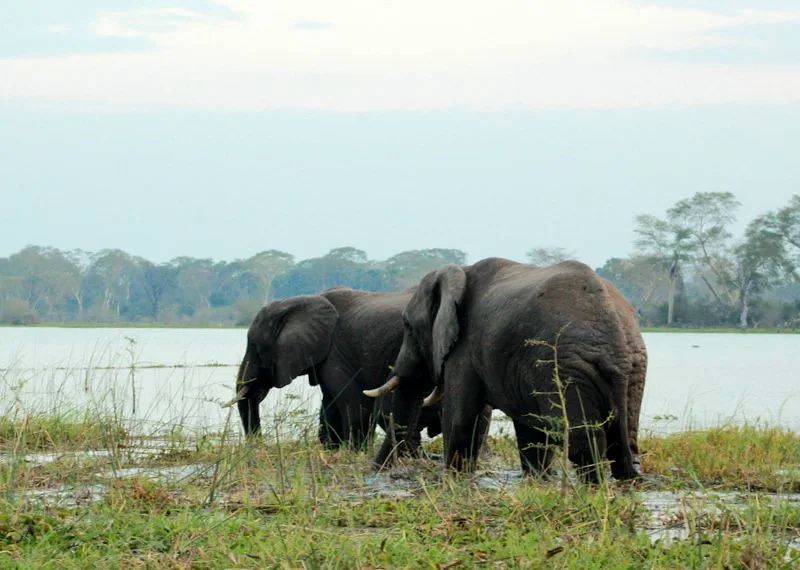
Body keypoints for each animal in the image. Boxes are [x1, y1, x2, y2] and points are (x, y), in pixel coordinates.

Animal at [227, 287, 443, 450]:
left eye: (255, 347)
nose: (258, 446)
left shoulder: (336, 355)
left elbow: (355, 406)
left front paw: (354, 452)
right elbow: (330, 406)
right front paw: (332, 448)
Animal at [365, 257, 647, 481]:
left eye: (407, 325)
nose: (377, 472)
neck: (458, 274)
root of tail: (616, 343)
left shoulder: (464, 349)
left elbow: (459, 419)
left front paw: (454, 480)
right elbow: (529, 429)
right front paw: (537, 482)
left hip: (568, 370)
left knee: (584, 445)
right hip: (634, 369)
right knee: (624, 447)